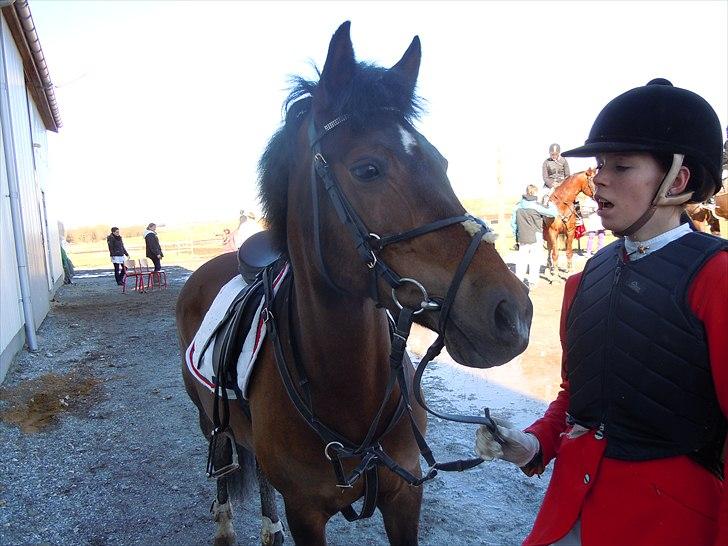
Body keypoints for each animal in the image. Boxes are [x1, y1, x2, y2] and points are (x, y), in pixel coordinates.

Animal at [177, 22, 533, 546]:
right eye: (367, 169)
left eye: (442, 162)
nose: (514, 314)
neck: (349, 392)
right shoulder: (306, 513)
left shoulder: (405, 497)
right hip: (209, 420)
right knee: (224, 461)